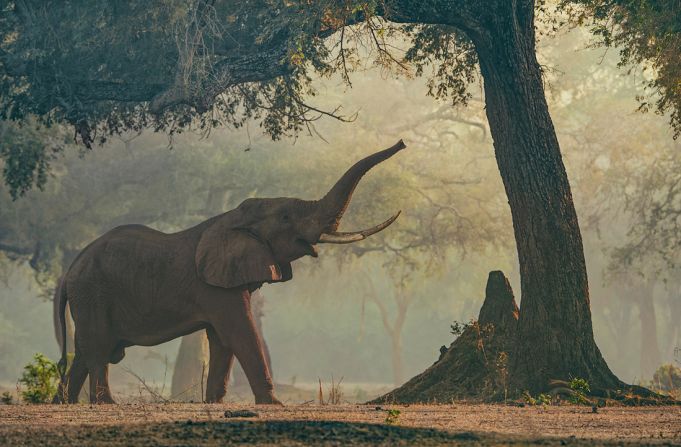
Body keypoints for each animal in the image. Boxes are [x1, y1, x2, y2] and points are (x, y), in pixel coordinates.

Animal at [54, 140, 404, 406]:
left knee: (82, 351)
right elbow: (240, 331)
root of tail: (69, 271)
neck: (233, 217)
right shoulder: (215, 287)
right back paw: (105, 403)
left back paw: (64, 402)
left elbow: (221, 339)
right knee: (97, 347)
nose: (401, 144)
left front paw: (213, 402)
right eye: (286, 218)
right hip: (93, 293)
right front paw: (273, 405)